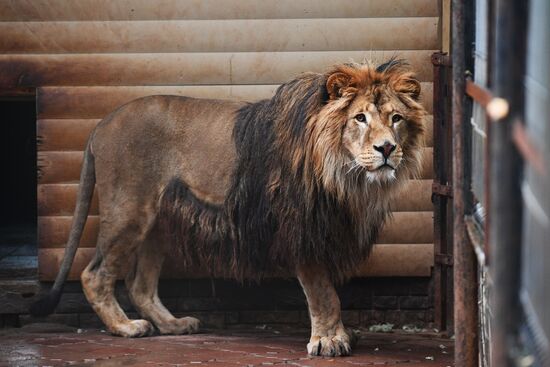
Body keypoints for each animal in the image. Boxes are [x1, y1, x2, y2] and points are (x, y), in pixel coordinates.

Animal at [30, 59, 426, 358]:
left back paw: (174, 325)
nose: (387, 149)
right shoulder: (300, 226)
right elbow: (323, 291)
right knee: (95, 274)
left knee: (141, 285)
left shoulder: (327, 226)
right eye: (359, 118)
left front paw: (339, 334)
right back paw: (125, 327)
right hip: (129, 211)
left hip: (158, 223)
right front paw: (329, 340)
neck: (345, 177)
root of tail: (101, 124)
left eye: (396, 119)